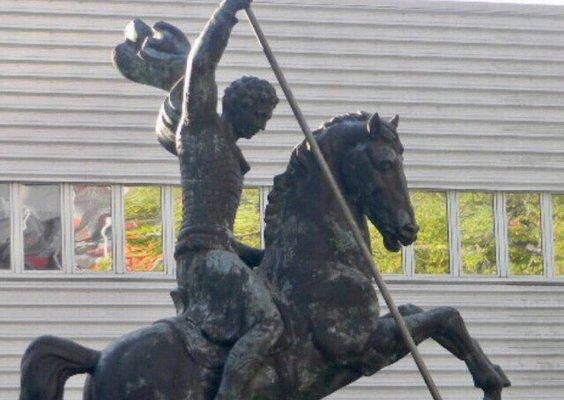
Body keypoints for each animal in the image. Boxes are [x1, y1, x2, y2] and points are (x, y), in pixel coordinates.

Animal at [18, 110, 512, 400]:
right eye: (387, 162)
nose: (409, 229)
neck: (320, 260)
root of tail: (99, 358)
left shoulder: (376, 335)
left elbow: (421, 312)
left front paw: (491, 374)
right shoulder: (361, 347)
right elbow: (443, 314)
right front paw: (490, 381)